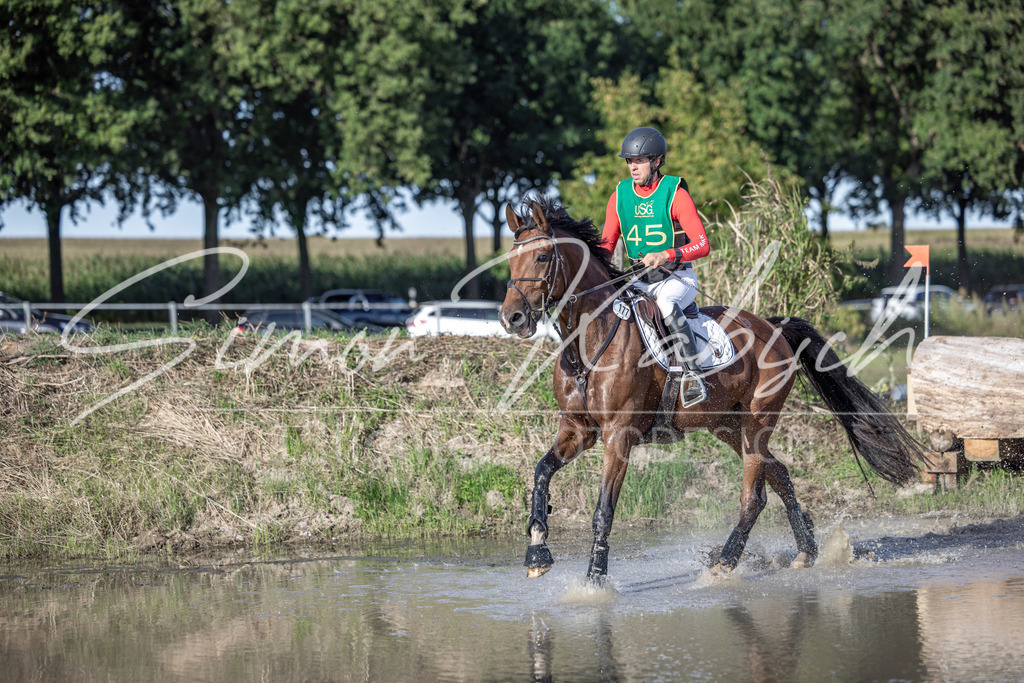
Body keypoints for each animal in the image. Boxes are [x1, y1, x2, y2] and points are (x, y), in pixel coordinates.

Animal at [499, 198, 924, 583]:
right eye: (510, 260)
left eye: (542, 258)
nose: (512, 318)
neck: (590, 342)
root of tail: (773, 327)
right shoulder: (577, 430)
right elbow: (541, 471)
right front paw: (537, 550)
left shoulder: (618, 434)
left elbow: (604, 510)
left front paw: (594, 580)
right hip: (727, 425)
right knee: (780, 474)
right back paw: (806, 551)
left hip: (757, 421)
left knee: (754, 496)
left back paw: (726, 561)